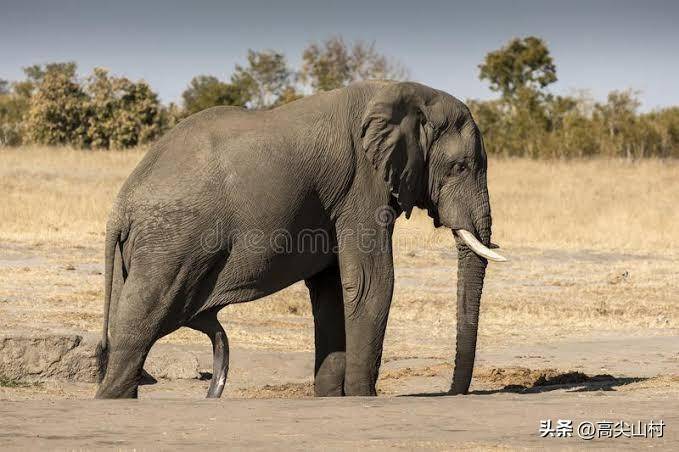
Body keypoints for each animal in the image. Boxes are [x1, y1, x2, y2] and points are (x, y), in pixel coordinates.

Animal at [97, 80, 510, 400]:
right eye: (459, 167)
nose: (452, 392)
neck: (405, 92)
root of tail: (121, 205)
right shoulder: (362, 186)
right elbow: (371, 283)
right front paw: (363, 397)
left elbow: (331, 291)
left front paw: (330, 397)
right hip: (170, 243)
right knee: (137, 324)